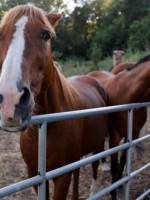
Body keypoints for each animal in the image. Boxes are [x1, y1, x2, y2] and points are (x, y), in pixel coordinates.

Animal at [0, 4, 108, 200]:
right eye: (0, 34)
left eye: (46, 35)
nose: (10, 101)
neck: (46, 127)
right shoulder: (34, 174)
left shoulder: (62, 176)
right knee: (77, 171)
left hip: (97, 146)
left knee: (95, 166)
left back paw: (94, 191)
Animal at [88, 55, 150, 199]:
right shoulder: (115, 135)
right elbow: (115, 165)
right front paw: (113, 192)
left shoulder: (132, 134)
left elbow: (122, 161)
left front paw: (120, 186)